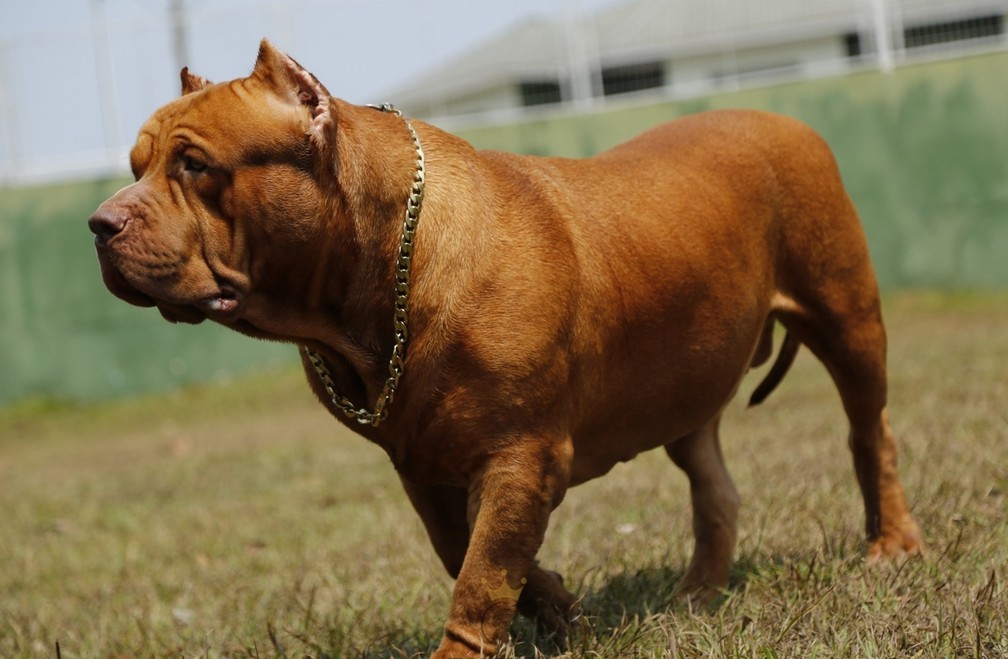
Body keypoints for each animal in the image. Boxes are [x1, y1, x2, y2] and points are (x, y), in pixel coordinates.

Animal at [90, 40, 923, 656]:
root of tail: (788, 121)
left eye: (194, 165)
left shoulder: (522, 454)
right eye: (135, 167)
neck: (379, 274)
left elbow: (483, 571)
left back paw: (892, 543)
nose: (100, 223)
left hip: (847, 320)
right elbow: (468, 550)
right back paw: (696, 595)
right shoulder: (423, 465)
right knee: (713, 485)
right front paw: (560, 609)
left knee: (870, 429)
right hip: (686, 383)